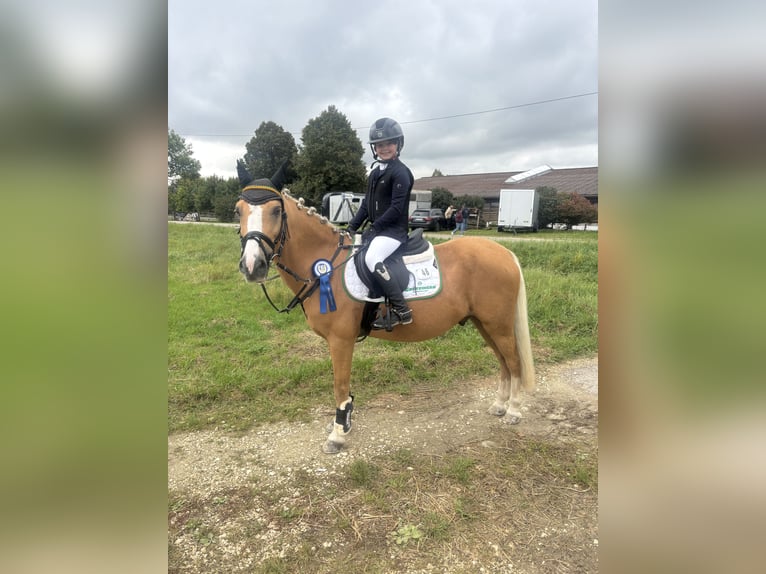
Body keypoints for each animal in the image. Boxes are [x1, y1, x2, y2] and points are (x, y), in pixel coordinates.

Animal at [235, 163, 535, 454]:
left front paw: (338, 434)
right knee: (504, 363)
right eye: (238, 210)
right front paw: (344, 424)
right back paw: (500, 405)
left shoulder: (341, 340)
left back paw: (514, 410)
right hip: (484, 323)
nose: (252, 266)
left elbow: (340, 385)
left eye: (276, 211)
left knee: (514, 362)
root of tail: (504, 252)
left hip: (498, 325)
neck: (326, 266)